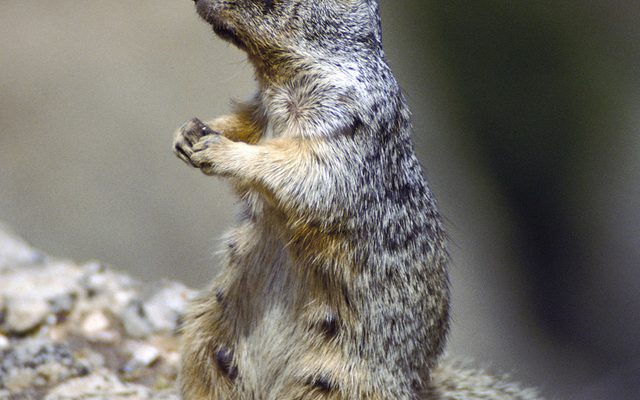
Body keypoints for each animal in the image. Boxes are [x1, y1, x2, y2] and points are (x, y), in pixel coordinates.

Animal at [173, 0, 542, 399]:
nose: (196, 3)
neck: (278, 78)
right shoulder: (260, 106)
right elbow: (243, 121)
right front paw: (190, 132)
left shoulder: (345, 121)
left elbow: (303, 169)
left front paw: (219, 150)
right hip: (204, 334)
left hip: (345, 381)